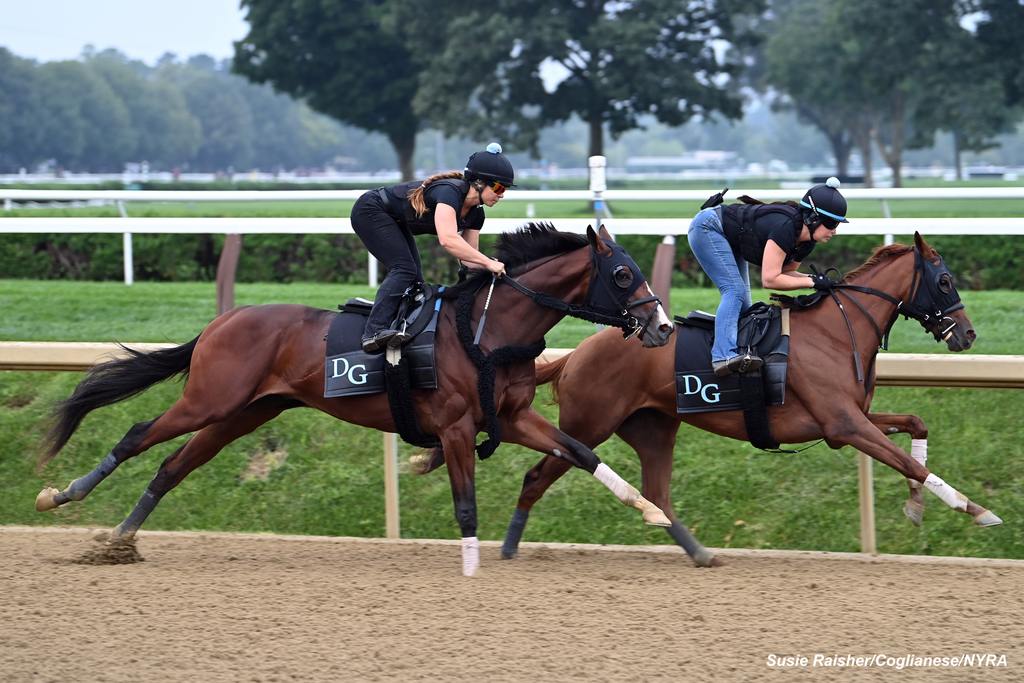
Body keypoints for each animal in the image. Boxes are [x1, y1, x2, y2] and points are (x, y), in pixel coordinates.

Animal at [37, 225, 679, 577]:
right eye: (623, 275)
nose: (664, 328)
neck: (488, 332)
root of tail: (222, 322)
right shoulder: (454, 426)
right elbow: (465, 504)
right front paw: (471, 568)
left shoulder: (513, 418)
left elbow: (580, 452)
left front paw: (650, 510)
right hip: (211, 400)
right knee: (137, 435)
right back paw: (61, 495)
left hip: (245, 413)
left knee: (172, 465)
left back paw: (120, 539)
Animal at [415, 231, 999, 565]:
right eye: (945, 281)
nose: (968, 335)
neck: (838, 330)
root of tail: (577, 352)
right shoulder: (844, 424)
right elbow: (909, 460)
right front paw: (976, 510)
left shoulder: (852, 419)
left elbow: (916, 425)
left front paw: (917, 506)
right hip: (589, 423)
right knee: (540, 475)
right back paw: (510, 546)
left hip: (653, 427)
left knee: (655, 490)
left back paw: (697, 551)